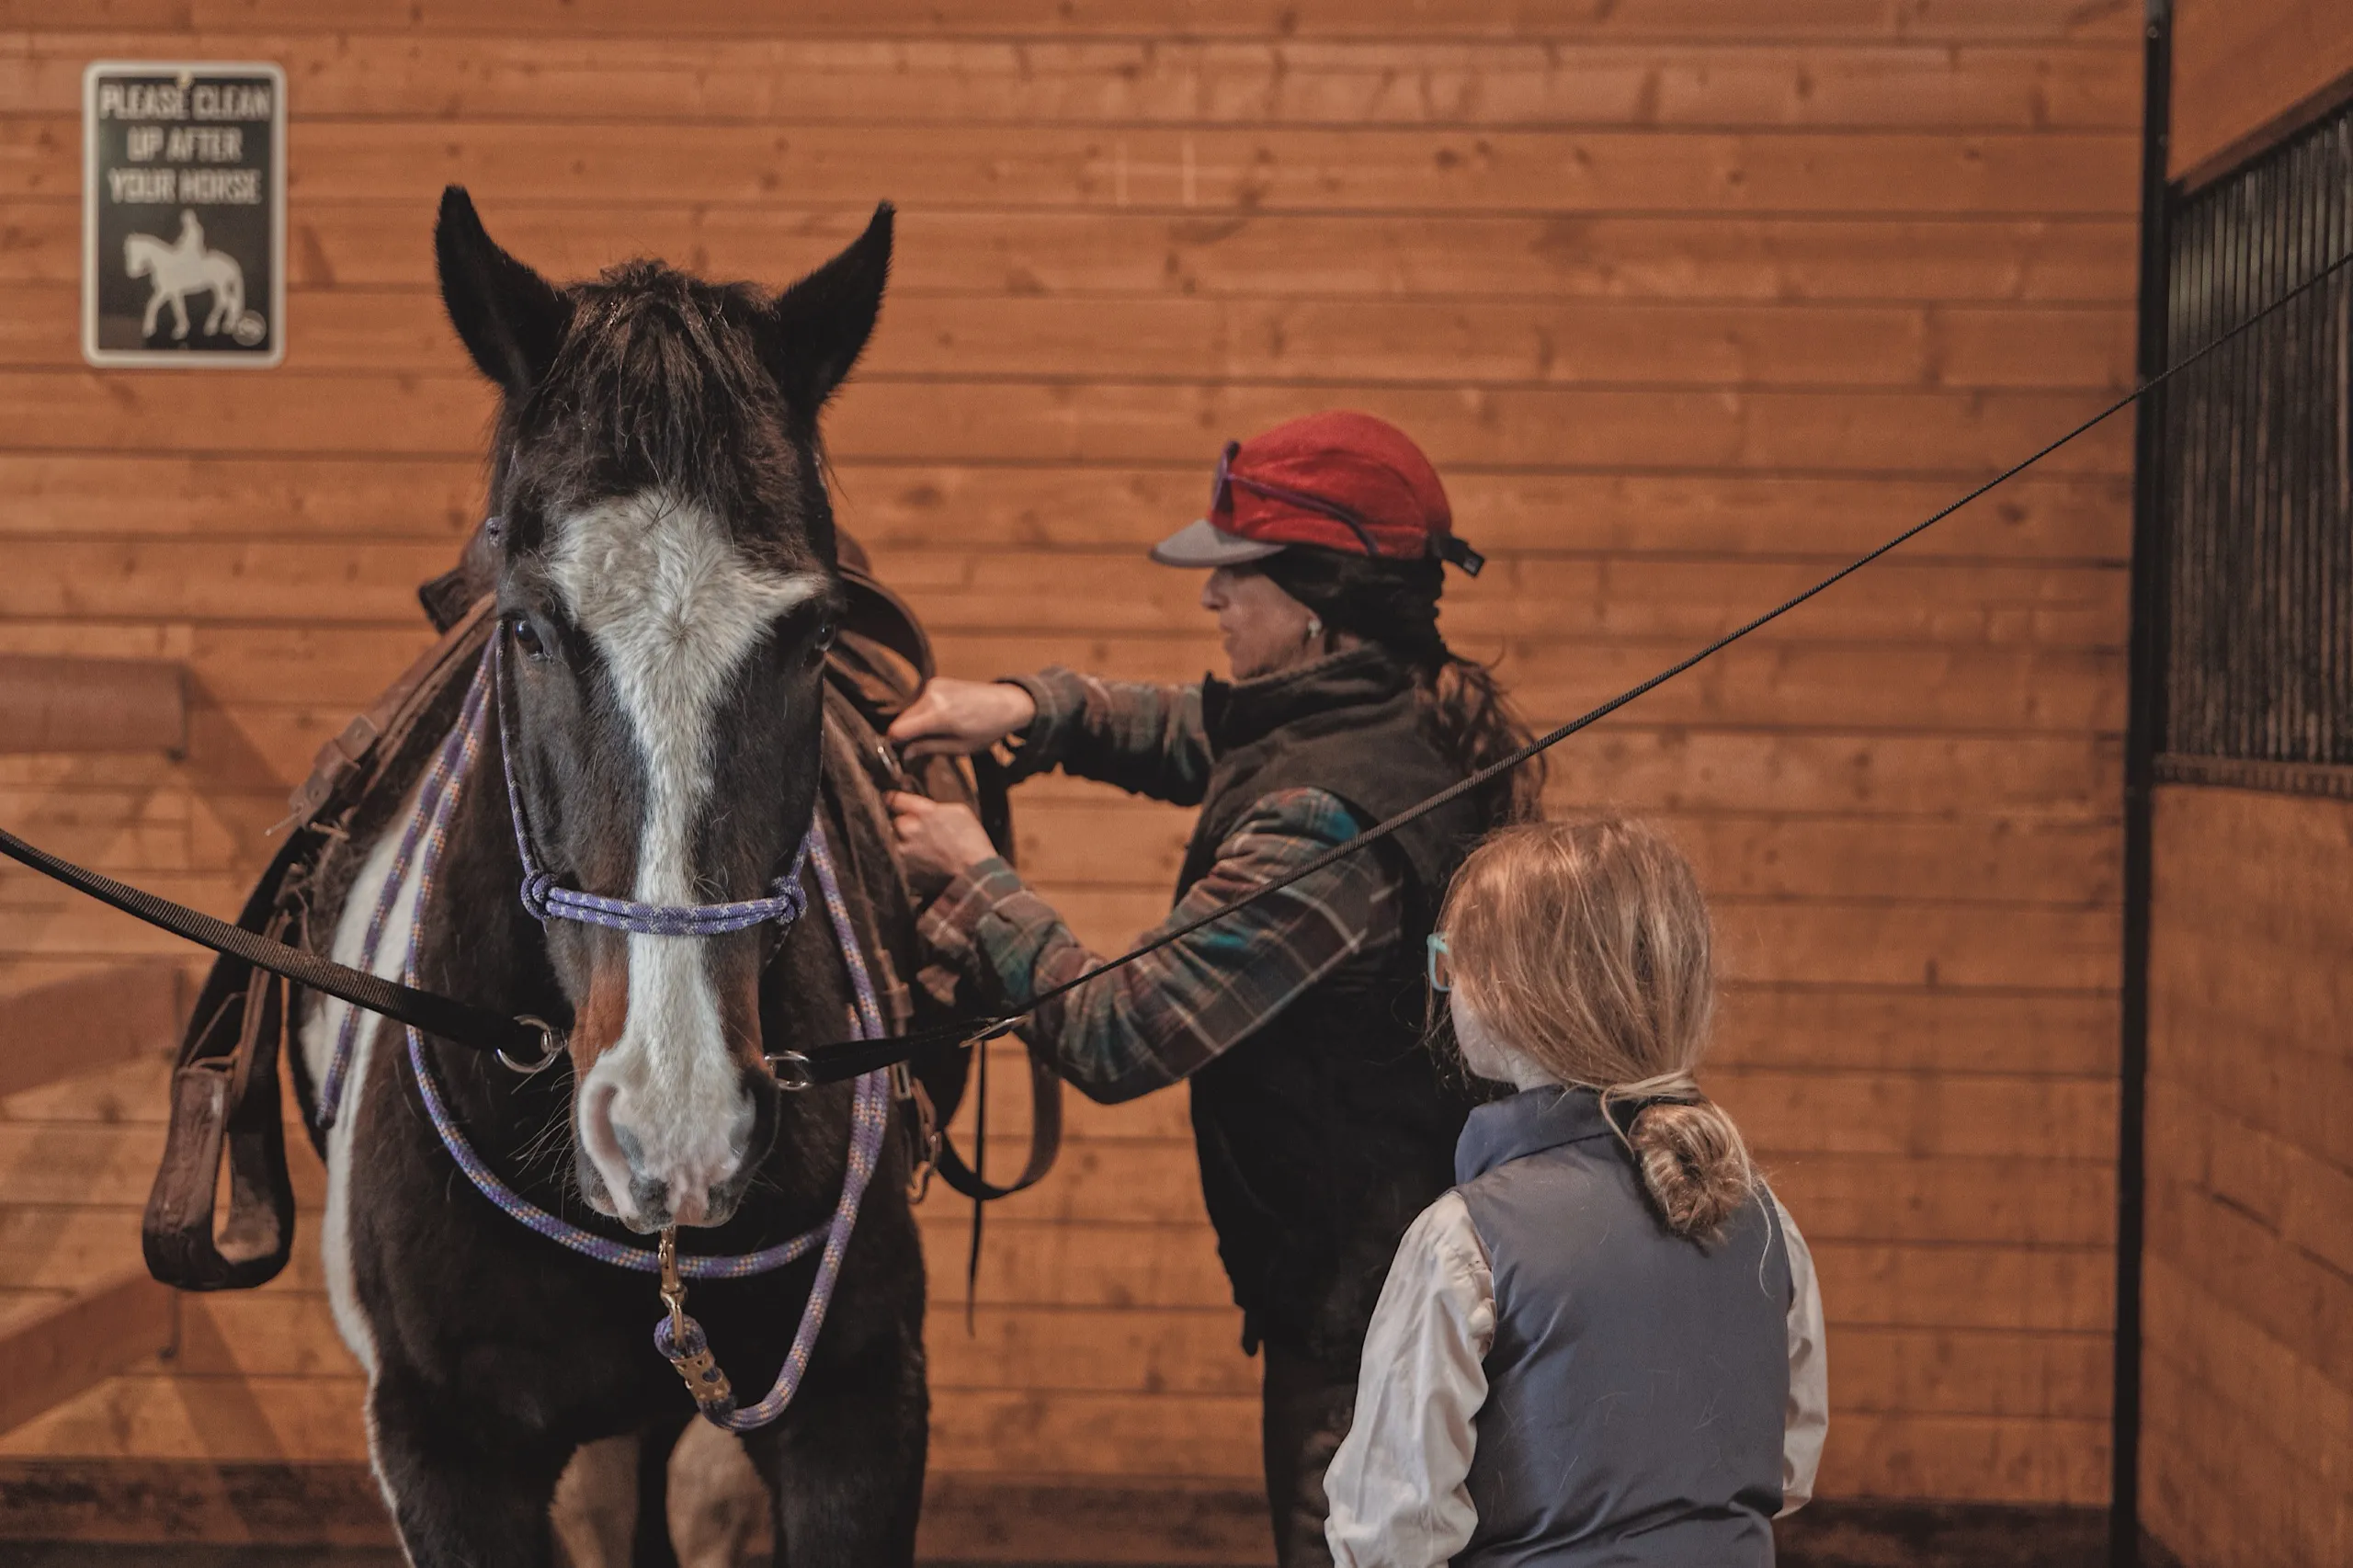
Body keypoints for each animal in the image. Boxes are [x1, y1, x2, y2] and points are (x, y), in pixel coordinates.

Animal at [125, 220, 245, 340]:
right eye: (127, 253)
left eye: (134, 253)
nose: (132, 273)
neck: (163, 264)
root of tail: (232, 264)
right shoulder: (171, 292)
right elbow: (173, 307)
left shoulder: (167, 290)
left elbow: (158, 306)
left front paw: (178, 331)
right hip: (219, 287)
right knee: (229, 301)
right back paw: (227, 325)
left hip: (220, 286)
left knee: (225, 301)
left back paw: (213, 327)